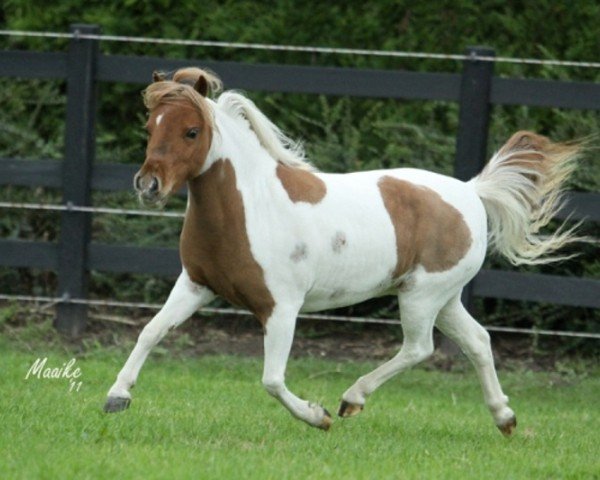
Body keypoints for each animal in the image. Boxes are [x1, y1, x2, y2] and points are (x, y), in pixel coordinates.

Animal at [104, 65, 580, 434]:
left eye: (191, 131)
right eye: (150, 127)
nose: (148, 185)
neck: (250, 207)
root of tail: (471, 191)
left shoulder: (281, 307)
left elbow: (272, 379)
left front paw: (319, 417)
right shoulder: (195, 285)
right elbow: (151, 331)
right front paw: (116, 397)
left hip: (422, 296)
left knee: (419, 348)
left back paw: (352, 400)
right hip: (444, 298)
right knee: (478, 341)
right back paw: (505, 418)